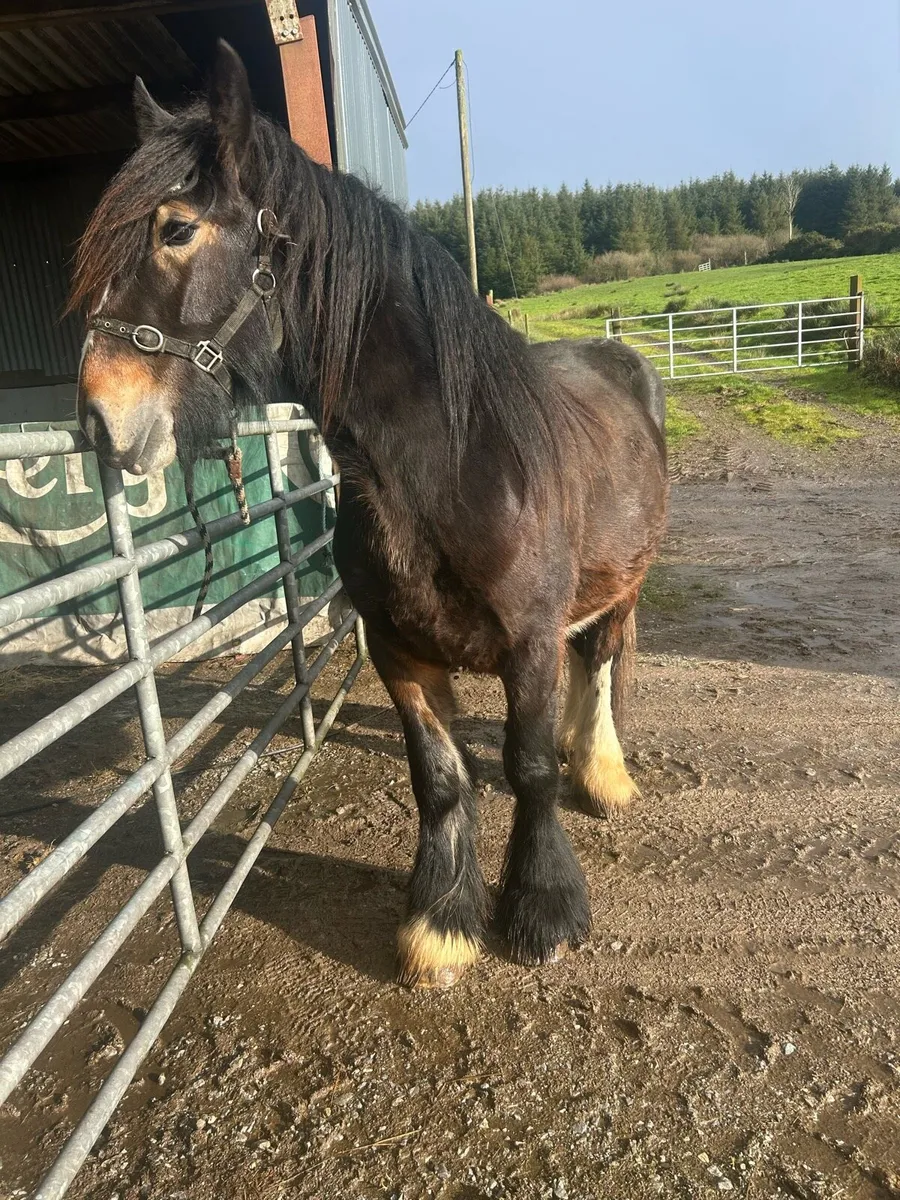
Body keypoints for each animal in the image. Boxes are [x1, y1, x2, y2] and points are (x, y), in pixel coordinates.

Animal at [70, 43, 669, 988]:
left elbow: (529, 768)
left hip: (625, 586)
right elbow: (441, 780)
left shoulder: (530, 645)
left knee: (602, 663)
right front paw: (441, 924)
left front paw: (543, 909)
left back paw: (602, 773)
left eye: (175, 230)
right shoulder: (397, 652)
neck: (451, 467)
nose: (98, 420)